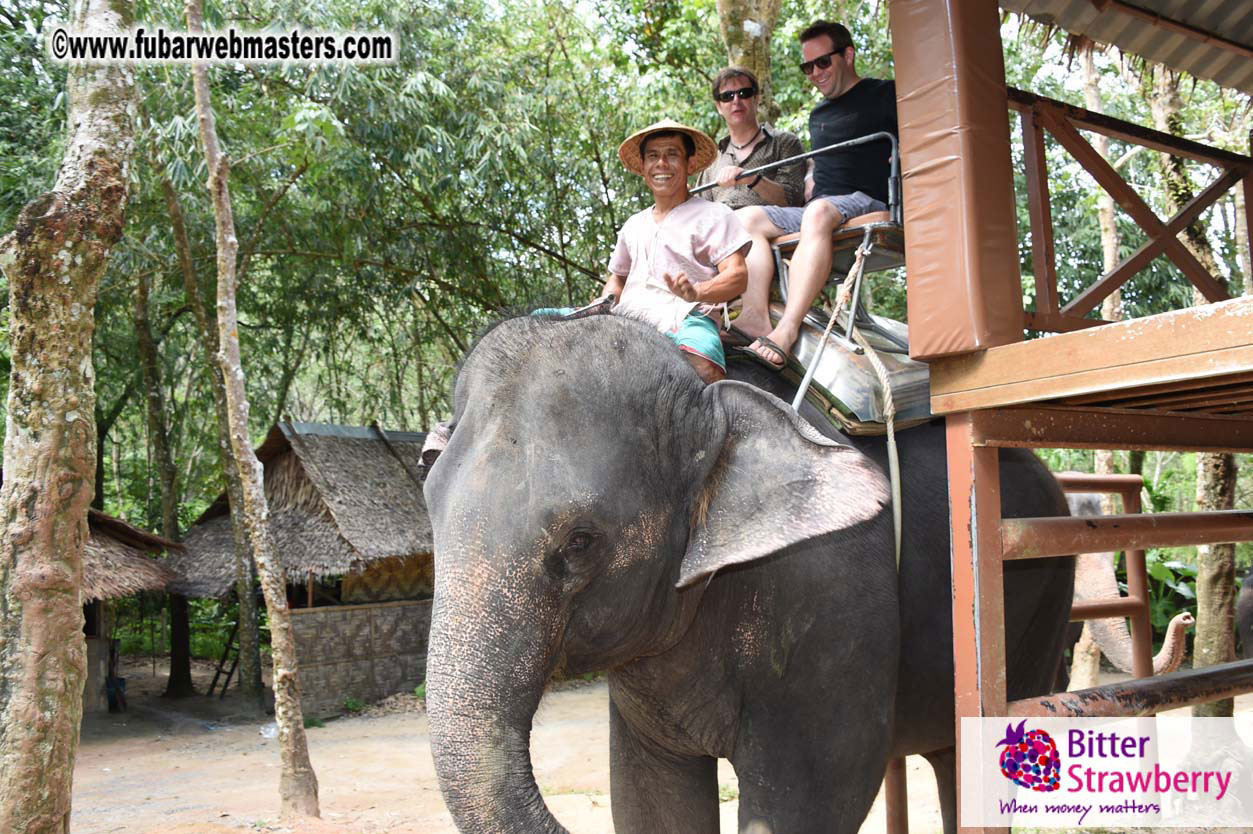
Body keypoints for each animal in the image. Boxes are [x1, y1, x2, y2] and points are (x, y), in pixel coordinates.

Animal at [422, 313, 1075, 834]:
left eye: (580, 542)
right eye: (429, 508)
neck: (708, 400)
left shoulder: (833, 597)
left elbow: (812, 797)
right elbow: (649, 799)